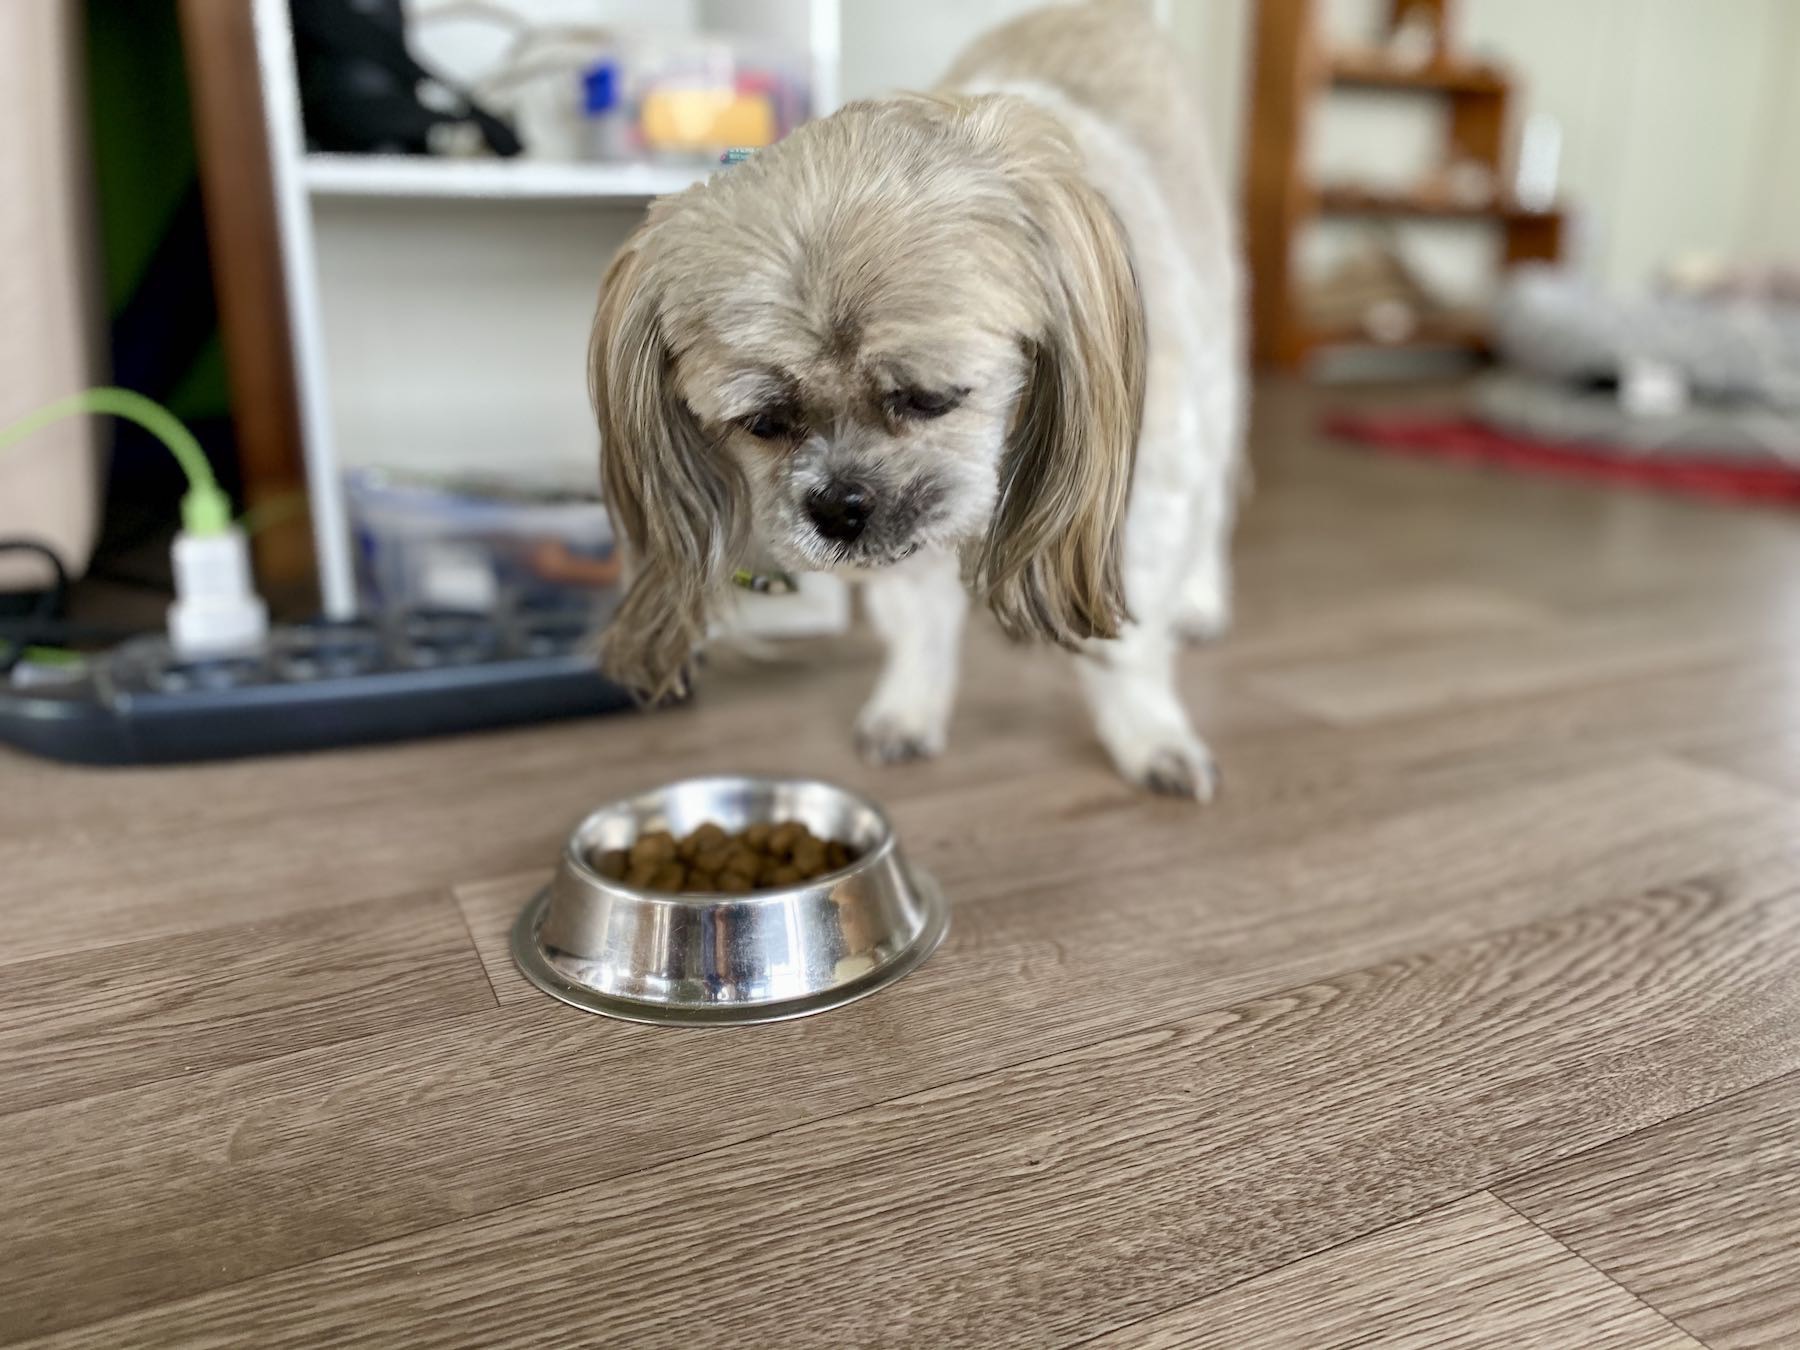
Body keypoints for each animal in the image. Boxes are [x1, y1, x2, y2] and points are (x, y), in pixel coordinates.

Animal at [597, 0, 1245, 799]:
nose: (837, 506)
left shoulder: (1143, 485)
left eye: (928, 398)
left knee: (1214, 502)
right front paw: (909, 705)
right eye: (764, 423)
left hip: (1215, 363)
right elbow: (918, 618)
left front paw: (1148, 732)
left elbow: (1128, 641)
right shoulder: (905, 539)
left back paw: (1201, 600)